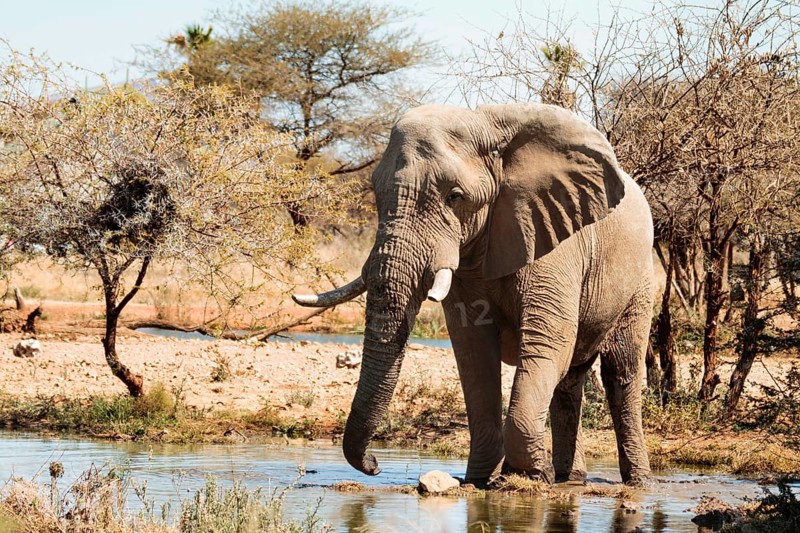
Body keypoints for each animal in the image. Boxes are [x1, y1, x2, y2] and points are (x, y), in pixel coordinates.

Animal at [294, 103, 654, 486]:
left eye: (454, 197)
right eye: (377, 195)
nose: (375, 464)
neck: (485, 123)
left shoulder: (554, 239)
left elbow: (547, 340)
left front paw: (527, 477)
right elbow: (474, 352)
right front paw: (481, 480)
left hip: (640, 279)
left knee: (621, 371)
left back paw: (637, 482)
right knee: (570, 378)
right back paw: (570, 479)